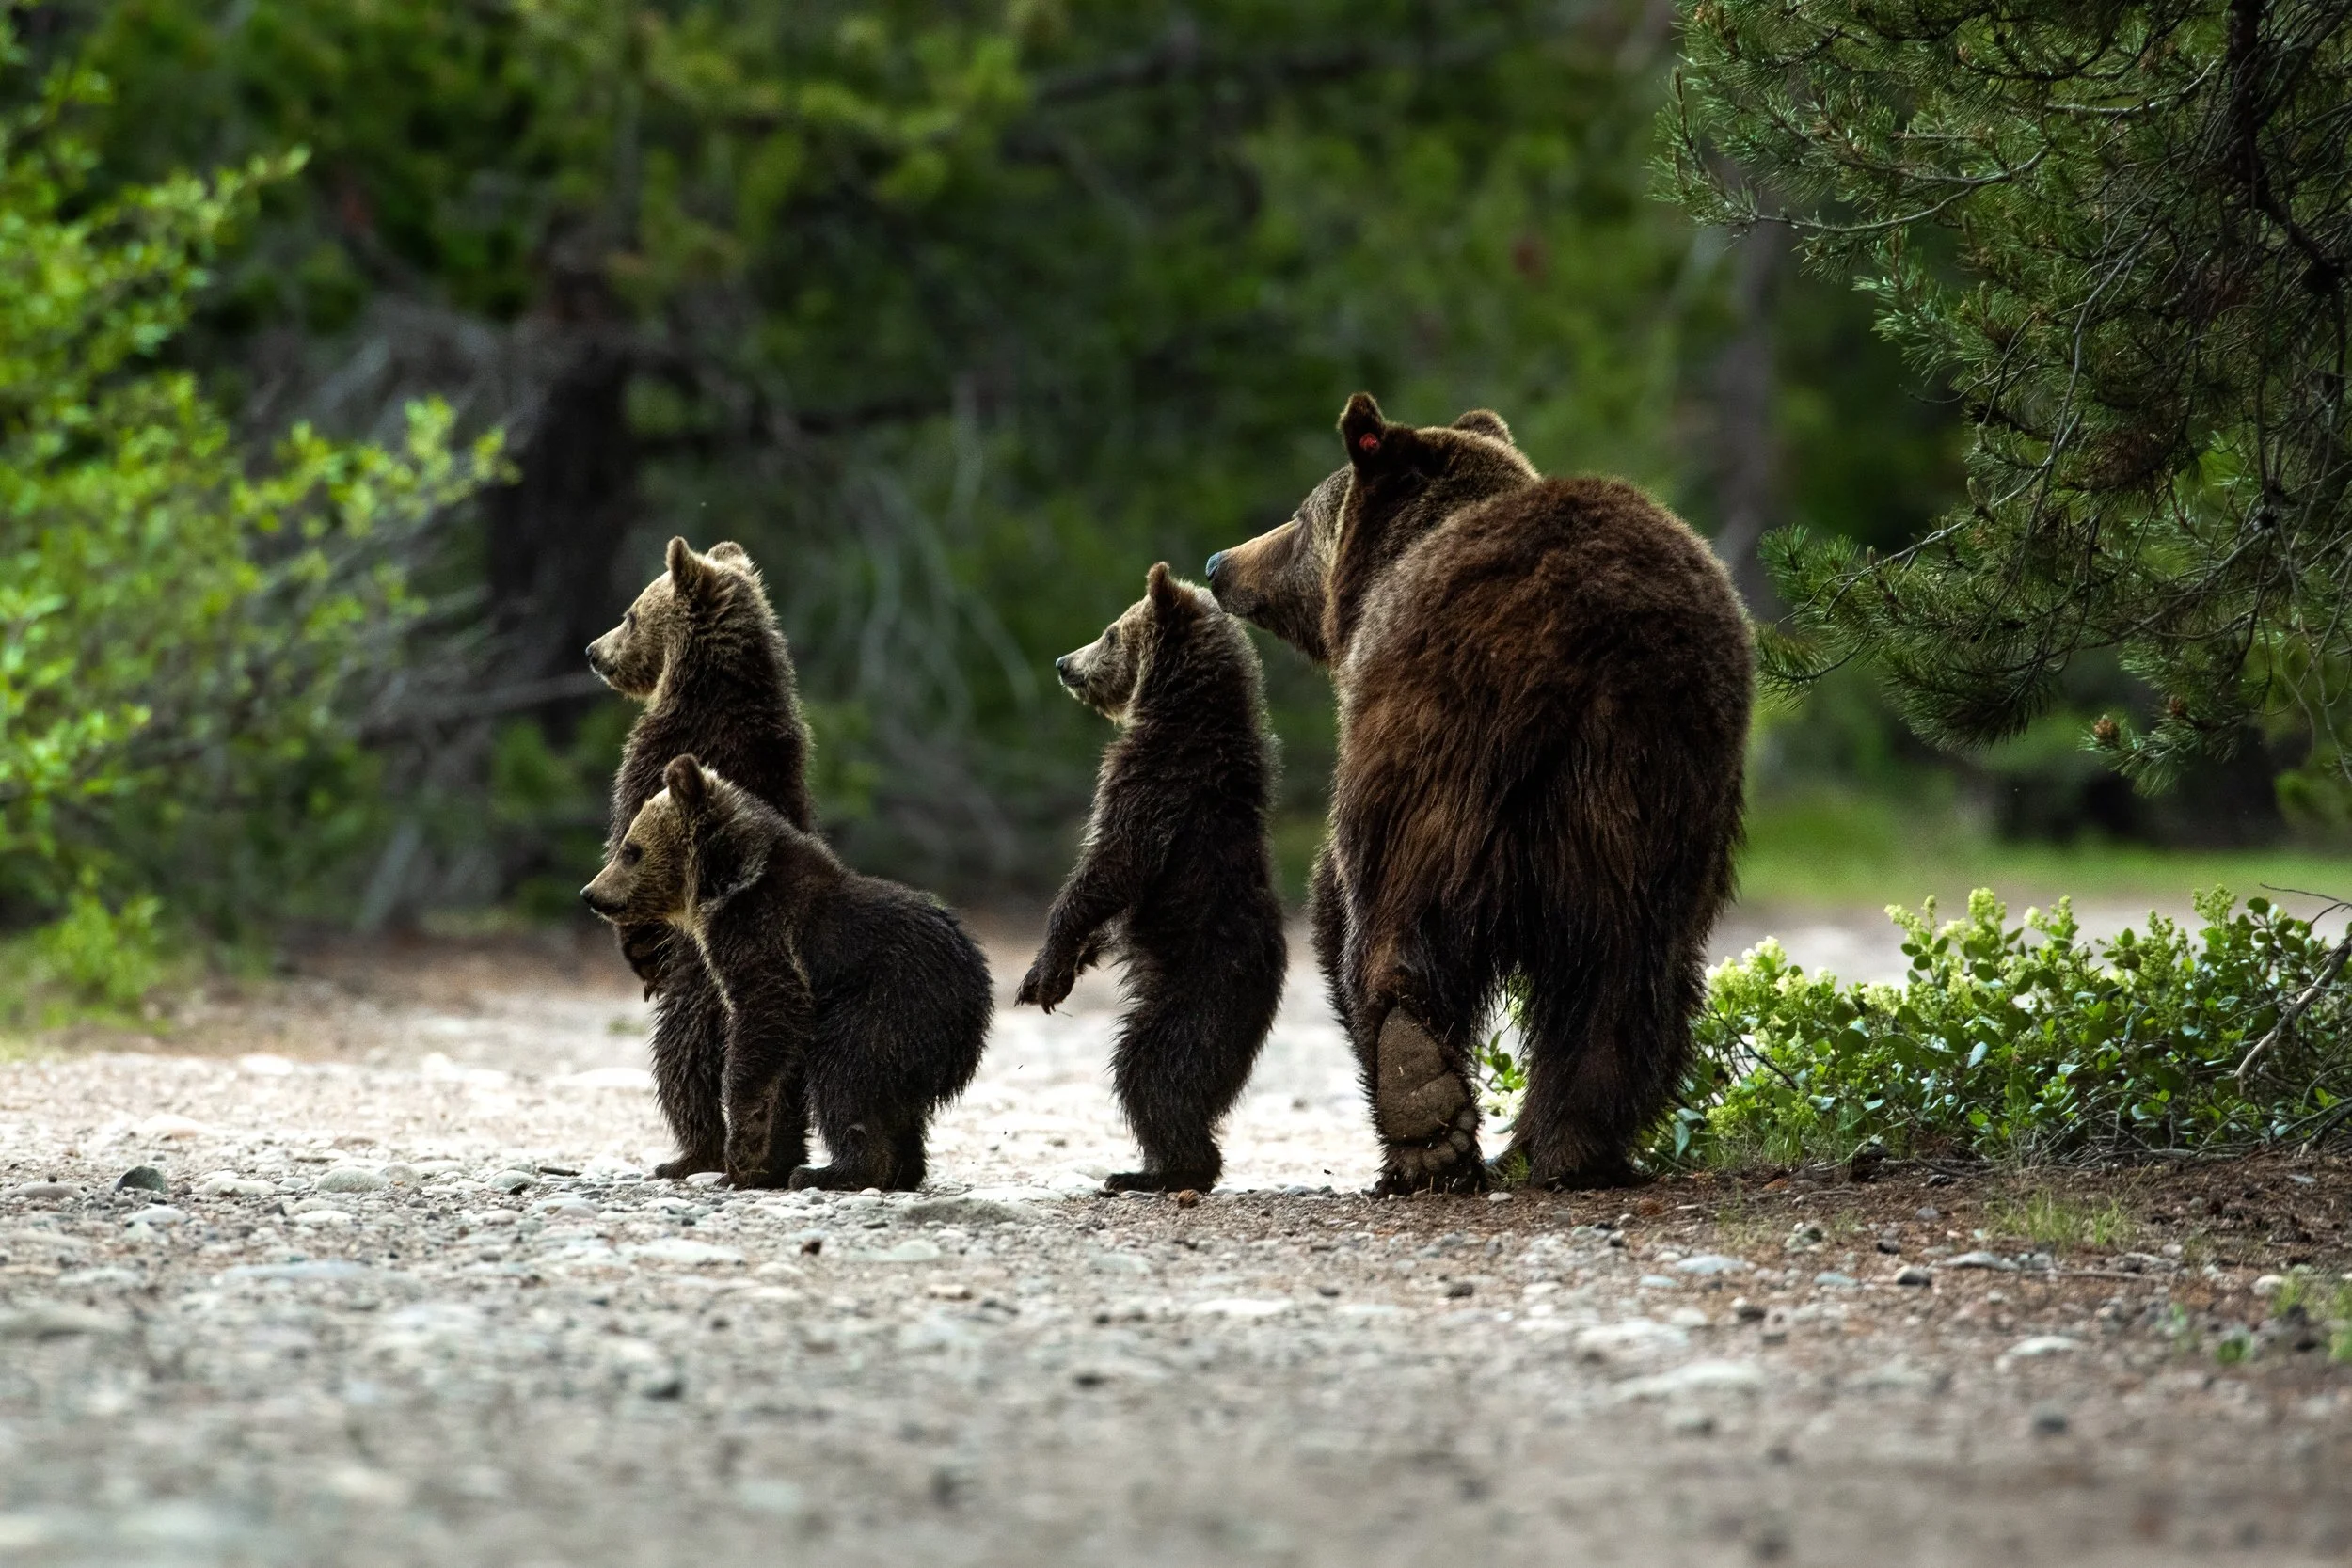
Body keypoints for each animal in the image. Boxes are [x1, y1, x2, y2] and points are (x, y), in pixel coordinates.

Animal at [581, 754, 991, 1190]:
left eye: (631, 850)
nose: (591, 893)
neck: (723, 887)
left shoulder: (763, 934)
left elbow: (767, 1015)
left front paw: (742, 1154)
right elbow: (783, 1070)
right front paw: (764, 1163)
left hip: (892, 1003)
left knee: (845, 1074)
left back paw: (836, 1171)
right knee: (895, 1103)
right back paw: (899, 1170)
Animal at [587, 537, 814, 1179]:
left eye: (629, 614)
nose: (593, 652)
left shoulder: (652, 764)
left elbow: (632, 847)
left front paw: (637, 950)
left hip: (704, 1000)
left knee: (680, 1060)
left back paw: (691, 1154)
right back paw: (779, 1156)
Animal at [1015, 563, 1287, 1193]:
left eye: (1111, 632)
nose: (1064, 662)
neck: (1179, 712)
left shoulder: (1154, 787)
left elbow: (1113, 865)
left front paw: (1043, 971)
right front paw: (1067, 967)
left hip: (1197, 996)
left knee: (1152, 1070)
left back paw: (1158, 1170)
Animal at [1205, 395, 1751, 1193]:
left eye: (1302, 518)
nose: (1220, 563)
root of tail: (1573, 638)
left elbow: (1338, 897)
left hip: (1438, 738)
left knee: (1394, 908)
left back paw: (1422, 1106)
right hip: (1655, 781)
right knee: (1626, 967)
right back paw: (1574, 1143)